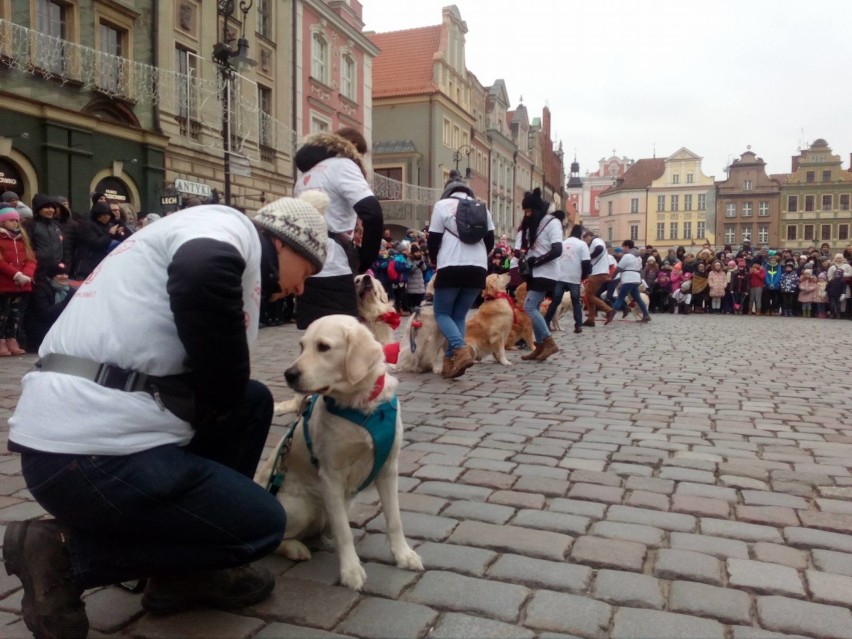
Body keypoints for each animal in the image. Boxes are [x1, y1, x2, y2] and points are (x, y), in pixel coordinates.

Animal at [255, 316, 424, 592]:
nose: (289, 374)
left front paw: (403, 554)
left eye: (323, 347)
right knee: (277, 540)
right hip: (302, 507)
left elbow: (394, 519)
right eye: (301, 346)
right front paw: (351, 571)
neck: (359, 405)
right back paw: (296, 549)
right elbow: (343, 532)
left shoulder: (388, 469)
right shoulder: (331, 477)